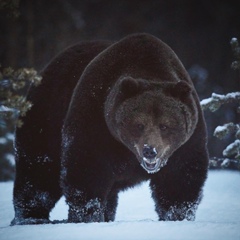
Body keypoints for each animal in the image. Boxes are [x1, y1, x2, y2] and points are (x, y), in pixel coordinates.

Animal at [11, 32, 208, 225]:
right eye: (139, 125)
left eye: (165, 126)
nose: (150, 151)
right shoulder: (96, 120)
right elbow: (86, 170)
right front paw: (87, 216)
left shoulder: (187, 142)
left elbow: (179, 181)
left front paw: (177, 217)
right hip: (47, 114)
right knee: (39, 171)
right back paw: (31, 217)